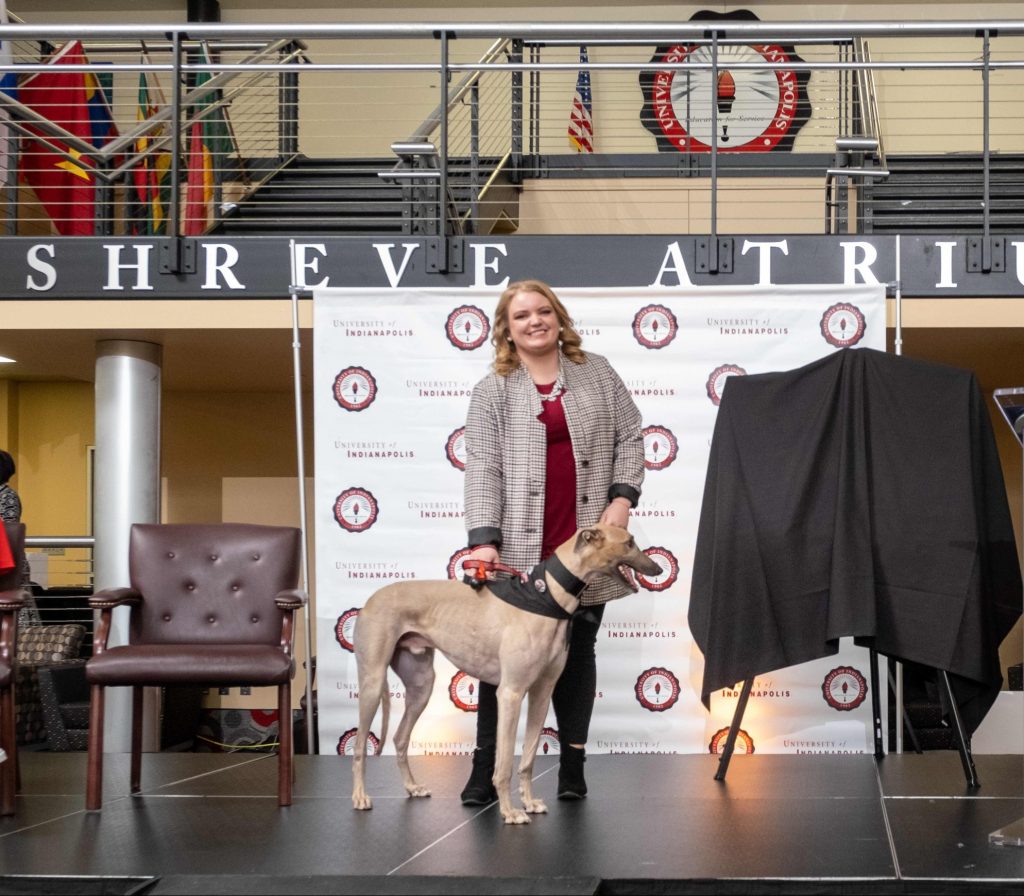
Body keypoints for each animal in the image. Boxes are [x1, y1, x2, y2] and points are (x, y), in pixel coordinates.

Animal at [348, 524, 659, 827]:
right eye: (629, 542)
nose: (657, 568)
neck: (546, 595)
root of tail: (371, 599)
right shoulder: (511, 692)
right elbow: (506, 762)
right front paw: (510, 812)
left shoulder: (542, 692)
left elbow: (529, 757)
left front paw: (529, 803)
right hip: (373, 682)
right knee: (360, 745)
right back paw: (360, 796)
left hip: (421, 685)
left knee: (400, 737)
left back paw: (412, 787)